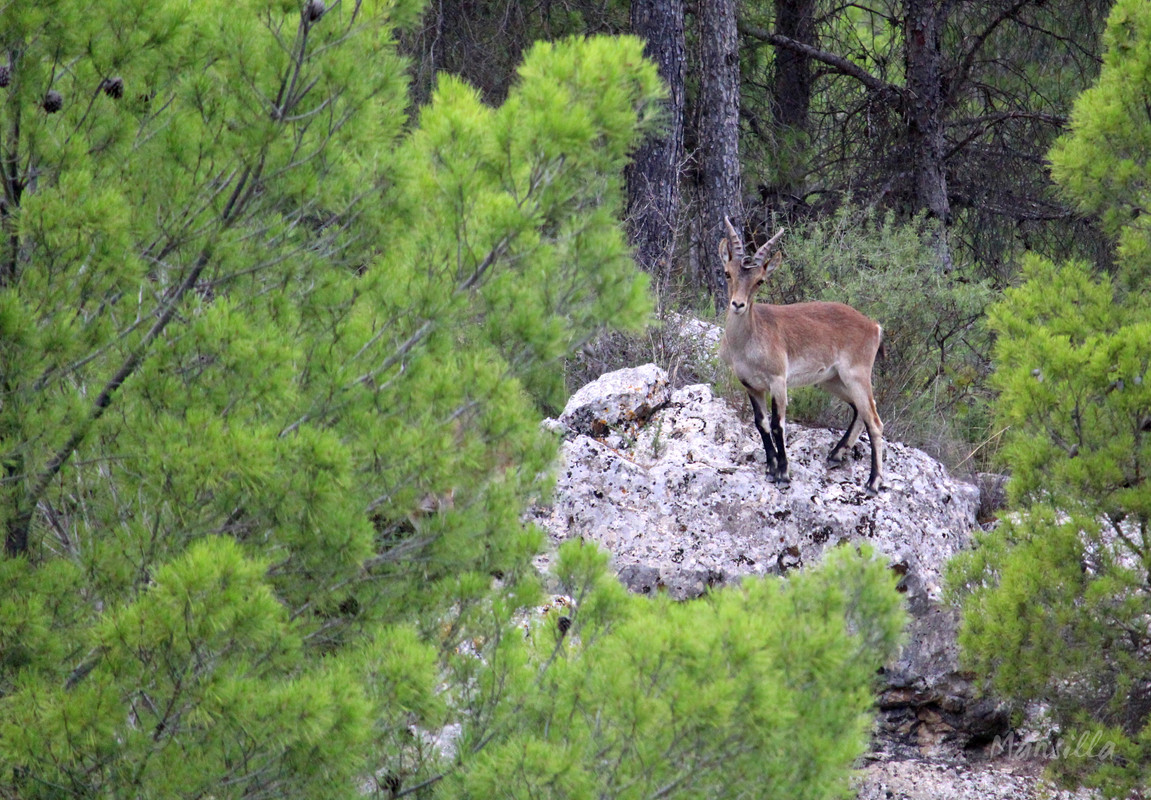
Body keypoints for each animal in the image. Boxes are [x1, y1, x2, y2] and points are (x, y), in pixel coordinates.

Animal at [713, 218, 883, 494]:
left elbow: (777, 424)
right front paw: (770, 469)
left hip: (856, 375)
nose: (738, 305)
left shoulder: (777, 381)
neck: (748, 341)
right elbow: (760, 423)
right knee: (862, 410)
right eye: (728, 272)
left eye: (760, 281)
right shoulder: (751, 385)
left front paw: (783, 474)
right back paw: (835, 455)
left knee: (875, 421)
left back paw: (873, 482)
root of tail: (874, 326)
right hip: (832, 380)